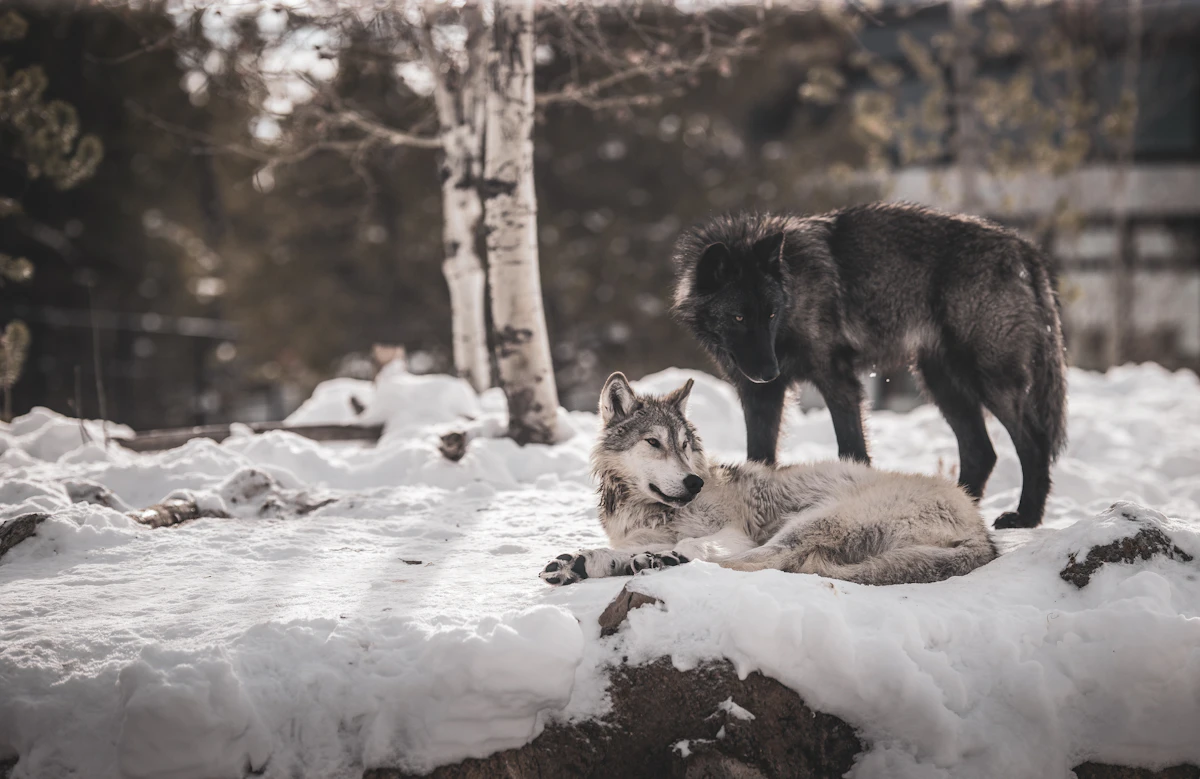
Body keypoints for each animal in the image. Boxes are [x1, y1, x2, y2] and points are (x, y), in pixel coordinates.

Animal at [539, 372, 996, 587]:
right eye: (654, 442)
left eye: (684, 444)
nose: (694, 483)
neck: (648, 510)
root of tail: (983, 531)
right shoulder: (638, 535)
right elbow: (628, 548)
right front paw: (586, 560)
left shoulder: (733, 533)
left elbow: (699, 544)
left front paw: (658, 557)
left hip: (811, 521)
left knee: (769, 561)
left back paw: (663, 563)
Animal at [670, 202, 1068, 529]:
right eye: (738, 317)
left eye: (769, 314)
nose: (770, 373)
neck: (795, 290)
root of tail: (1022, 247)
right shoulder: (759, 396)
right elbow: (760, 456)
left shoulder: (837, 381)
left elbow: (852, 449)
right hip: (941, 383)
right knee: (981, 451)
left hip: (989, 379)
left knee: (1033, 442)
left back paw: (1026, 517)